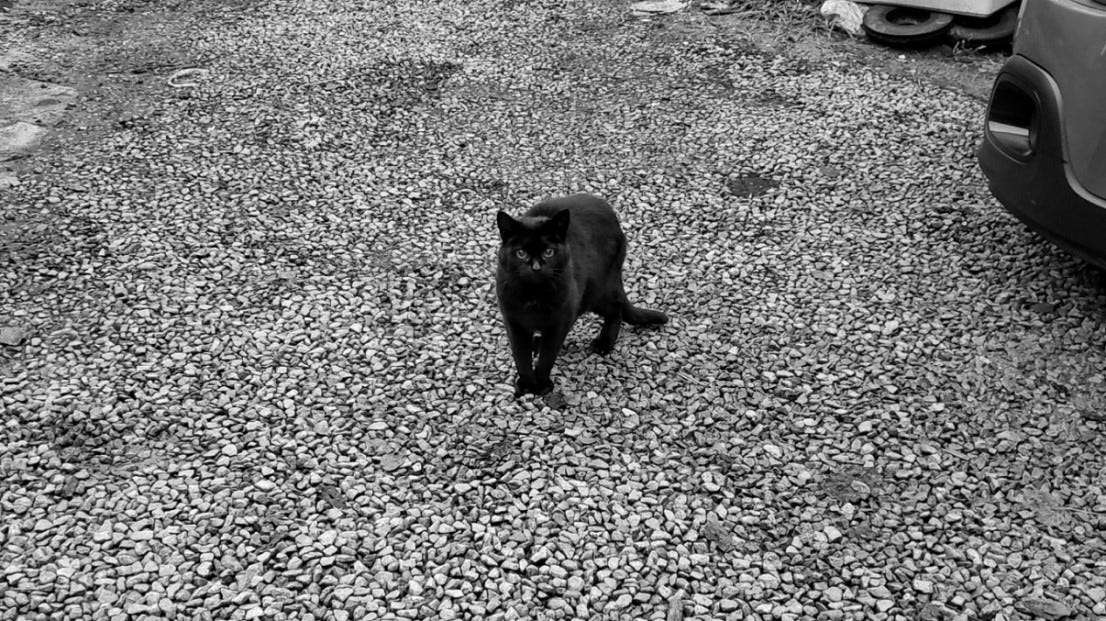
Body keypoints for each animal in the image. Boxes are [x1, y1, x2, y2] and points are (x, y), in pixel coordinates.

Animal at [499, 193, 668, 396]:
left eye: (548, 252)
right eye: (521, 253)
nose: (536, 267)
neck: (534, 294)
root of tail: (610, 212)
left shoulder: (560, 320)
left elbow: (548, 355)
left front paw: (542, 384)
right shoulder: (513, 322)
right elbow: (520, 356)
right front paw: (527, 384)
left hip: (595, 291)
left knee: (616, 309)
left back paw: (603, 344)